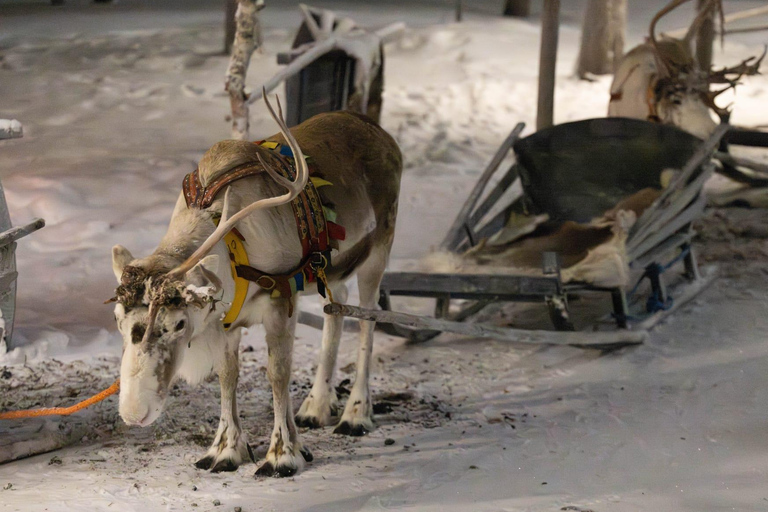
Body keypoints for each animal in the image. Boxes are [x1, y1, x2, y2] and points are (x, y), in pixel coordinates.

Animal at [109, 93, 402, 477]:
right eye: (117, 320)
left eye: (179, 324)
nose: (134, 413)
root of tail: (384, 136)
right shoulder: (226, 319)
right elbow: (227, 376)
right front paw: (225, 450)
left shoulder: (281, 303)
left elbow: (277, 375)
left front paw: (283, 455)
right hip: (332, 271)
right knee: (336, 308)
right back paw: (316, 407)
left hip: (378, 252)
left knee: (368, 320)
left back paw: (355, 414)